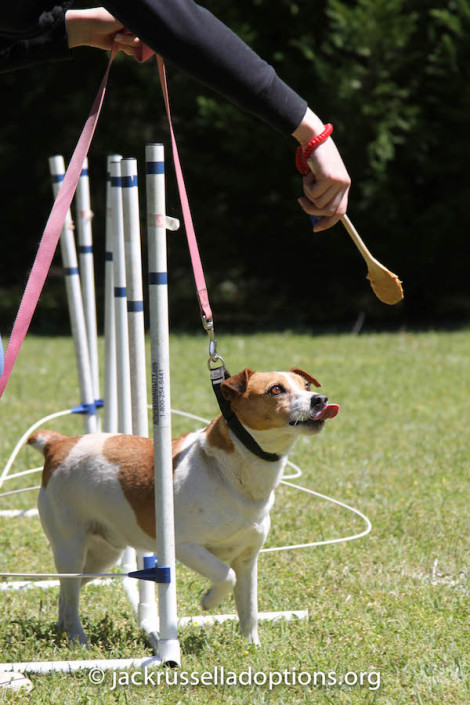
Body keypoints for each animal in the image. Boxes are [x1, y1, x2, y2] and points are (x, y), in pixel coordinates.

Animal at [28, 366, 338, 648]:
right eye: (275, 389)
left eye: (306, 386)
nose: (321, 400)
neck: (231, 468)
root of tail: (58, 444)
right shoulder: (186, 546)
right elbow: (225, 576)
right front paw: (209, 601)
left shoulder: (247, 559)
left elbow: (248, 607)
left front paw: (253, 648)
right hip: (71, 549)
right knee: (70, 597)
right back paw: (79, 640)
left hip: (100, 557)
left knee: (66, 593)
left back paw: (65, 633)